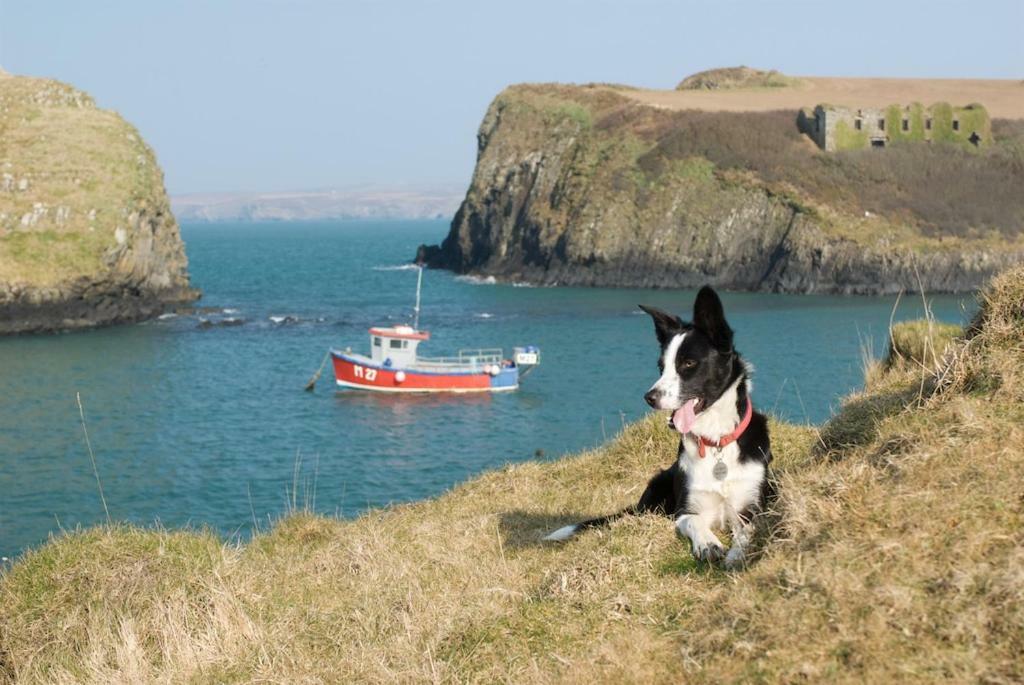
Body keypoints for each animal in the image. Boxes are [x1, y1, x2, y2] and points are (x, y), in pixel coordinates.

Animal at [544, 286, 770, 569]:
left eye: (688, 363)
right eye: (661, 367)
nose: (649, 397)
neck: (716, 442)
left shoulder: (752, 509)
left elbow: (748, 532)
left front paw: (737, 554)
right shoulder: (686, 510)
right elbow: (694, 521)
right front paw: (708, 544)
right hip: (658, 483)